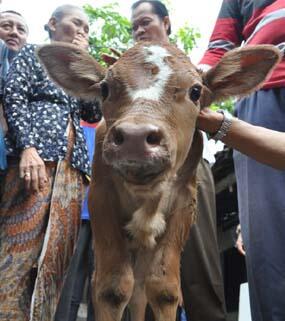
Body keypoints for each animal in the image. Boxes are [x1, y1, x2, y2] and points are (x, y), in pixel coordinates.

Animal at [36, 41, 278, 318]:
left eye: (196, 91)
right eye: (105, 88)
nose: (135, 137)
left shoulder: (185, 203)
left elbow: (164, 289)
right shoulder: (100, 197)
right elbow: (111, 287)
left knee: (140, 292)